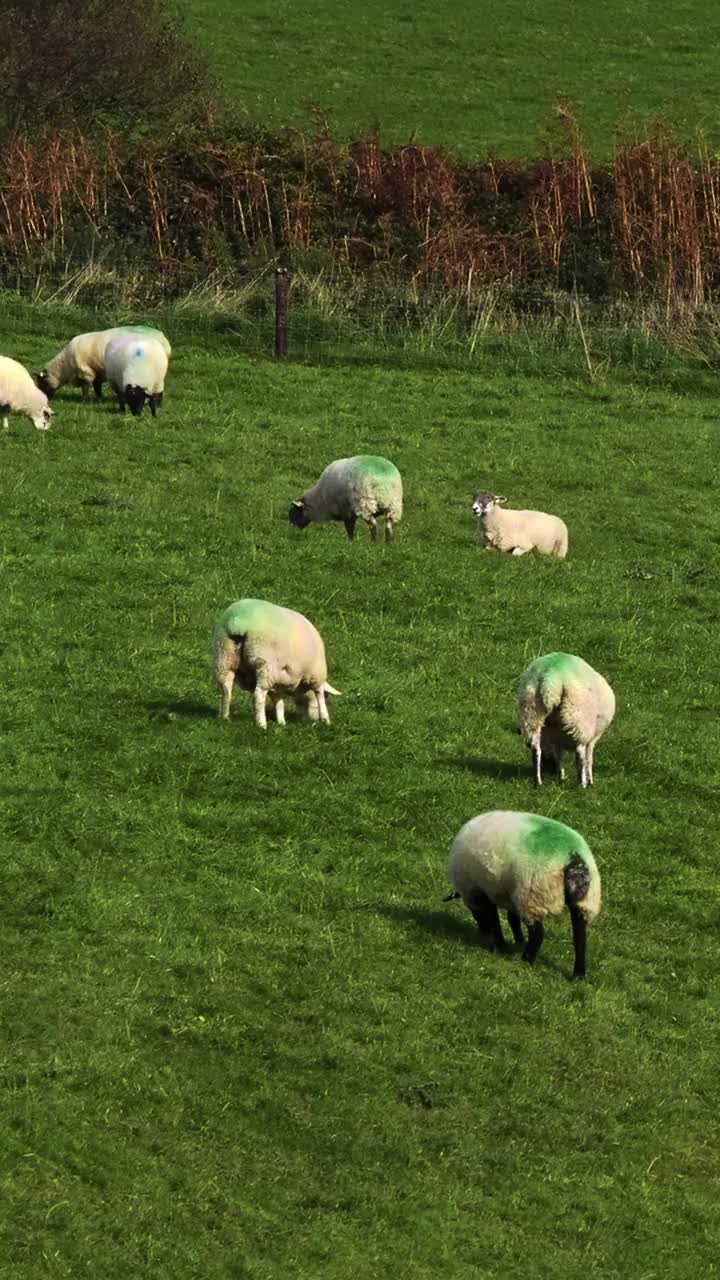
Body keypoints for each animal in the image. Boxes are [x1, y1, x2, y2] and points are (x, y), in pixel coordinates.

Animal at [36, 325, 170, 399]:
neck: (64, 366)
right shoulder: (97, 373)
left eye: (42, 382)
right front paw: (98, 400)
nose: (45, 399)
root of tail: (164, 340)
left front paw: (84, 400)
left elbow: (86, 388)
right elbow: (97, 388)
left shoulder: (87, 373)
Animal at [211, 593, 340, 727]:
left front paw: (281, 722)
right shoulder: (316, 674)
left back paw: (225, 717)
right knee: (259, 695)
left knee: (226, 689)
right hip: (265, 663)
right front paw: (325, 719)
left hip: (224, 656)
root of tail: (238, 622)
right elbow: (319, 693)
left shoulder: (278, 682)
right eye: (327, 696)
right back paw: (262, 724)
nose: (312, 720)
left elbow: (279, 701)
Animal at [445, 808, 597, 977]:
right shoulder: (511, 895)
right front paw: (518, 941)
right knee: (580, 938)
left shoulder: (485, 890)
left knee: (538, 933)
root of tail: (573, 858)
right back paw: (578, 974)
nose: (483, 932)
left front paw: (500, 945)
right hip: (585, 901)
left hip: (533, 896)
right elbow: (512, 919)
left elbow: (494, 918)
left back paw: (526, 960)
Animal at [512, 655, 614, 783]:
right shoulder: (592, 738)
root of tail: (550, 677)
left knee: (536, 750)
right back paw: (582, 784)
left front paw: (561, 777)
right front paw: (590, 780)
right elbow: (589, 758)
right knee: (580, 755)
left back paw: (538, 781)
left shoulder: (556, 739)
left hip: (531, 712)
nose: (550, 772)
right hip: (579, 721)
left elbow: (558, 757)